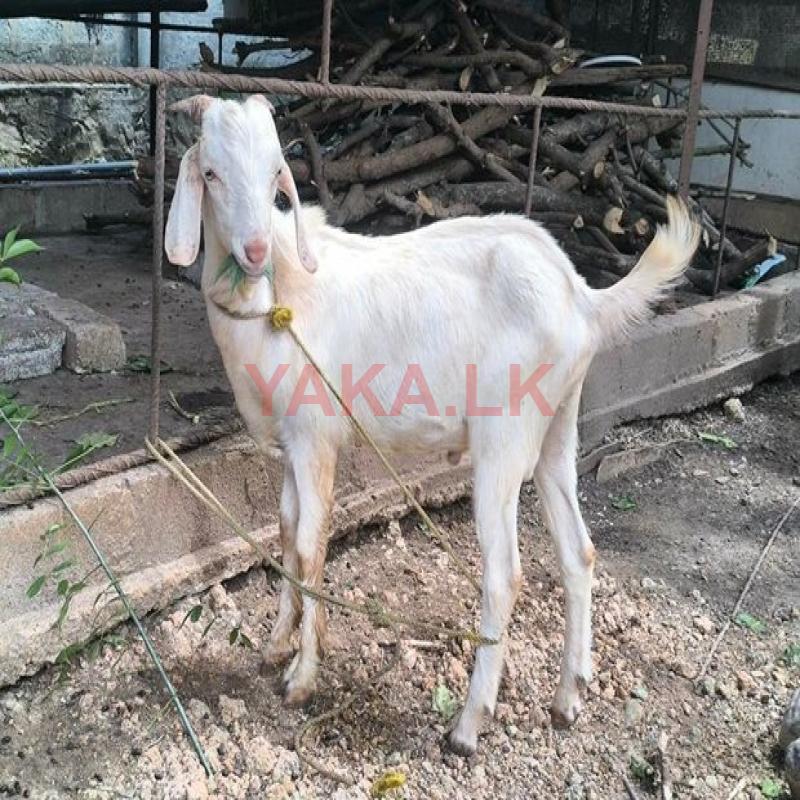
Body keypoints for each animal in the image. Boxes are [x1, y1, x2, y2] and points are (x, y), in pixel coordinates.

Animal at [164, 94, 699, 755]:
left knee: (505, 576)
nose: (256, 250)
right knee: (579, 552)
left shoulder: (316, 436)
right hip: (558, 426)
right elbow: (287, 533)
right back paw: (568, 697)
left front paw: (302, 678)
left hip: (503, 439)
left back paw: (469, 724)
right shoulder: (292, 444)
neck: (278, 297)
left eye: (274, 178)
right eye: (211, 173)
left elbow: (311, 547)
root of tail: (581, 295)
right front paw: (276, 645)